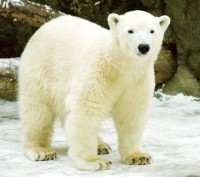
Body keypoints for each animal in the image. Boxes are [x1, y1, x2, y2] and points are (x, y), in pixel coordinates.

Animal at [18, 10, 170, 171]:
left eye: (152, 31)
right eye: (130, 30)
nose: (143, 47)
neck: (120, 64)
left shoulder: (137, 80)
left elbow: (132, 114)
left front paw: (138, 156)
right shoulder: (98, 70)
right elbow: (86, 107)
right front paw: (93, 162)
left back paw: (101, 145)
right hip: (41, 69)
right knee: (37, 111)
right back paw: (41, 150)